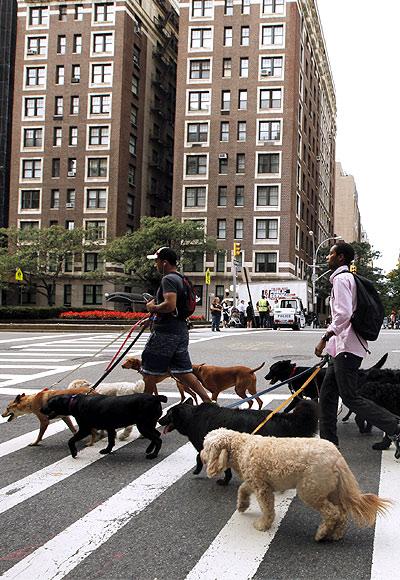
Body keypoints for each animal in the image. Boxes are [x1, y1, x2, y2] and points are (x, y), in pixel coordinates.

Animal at [158, 398, 318, 484]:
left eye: (168, 414)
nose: (159, 419)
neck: (191, 417)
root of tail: (279, 417)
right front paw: (226, 480)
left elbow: (198, 456)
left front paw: (197, 470)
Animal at [200, 428, 390, 540]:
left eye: (205, 447)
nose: (200, 456)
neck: (242, 447)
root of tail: (337, 458)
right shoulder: (256, 482)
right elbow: (242, 489)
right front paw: (242, 505)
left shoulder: (262, 489)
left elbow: (267, 510)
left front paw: (263, 525)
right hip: (331, 491)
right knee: (342, 514)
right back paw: (336, 534)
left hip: (310, 491)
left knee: (333, 513)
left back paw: (321, 533)